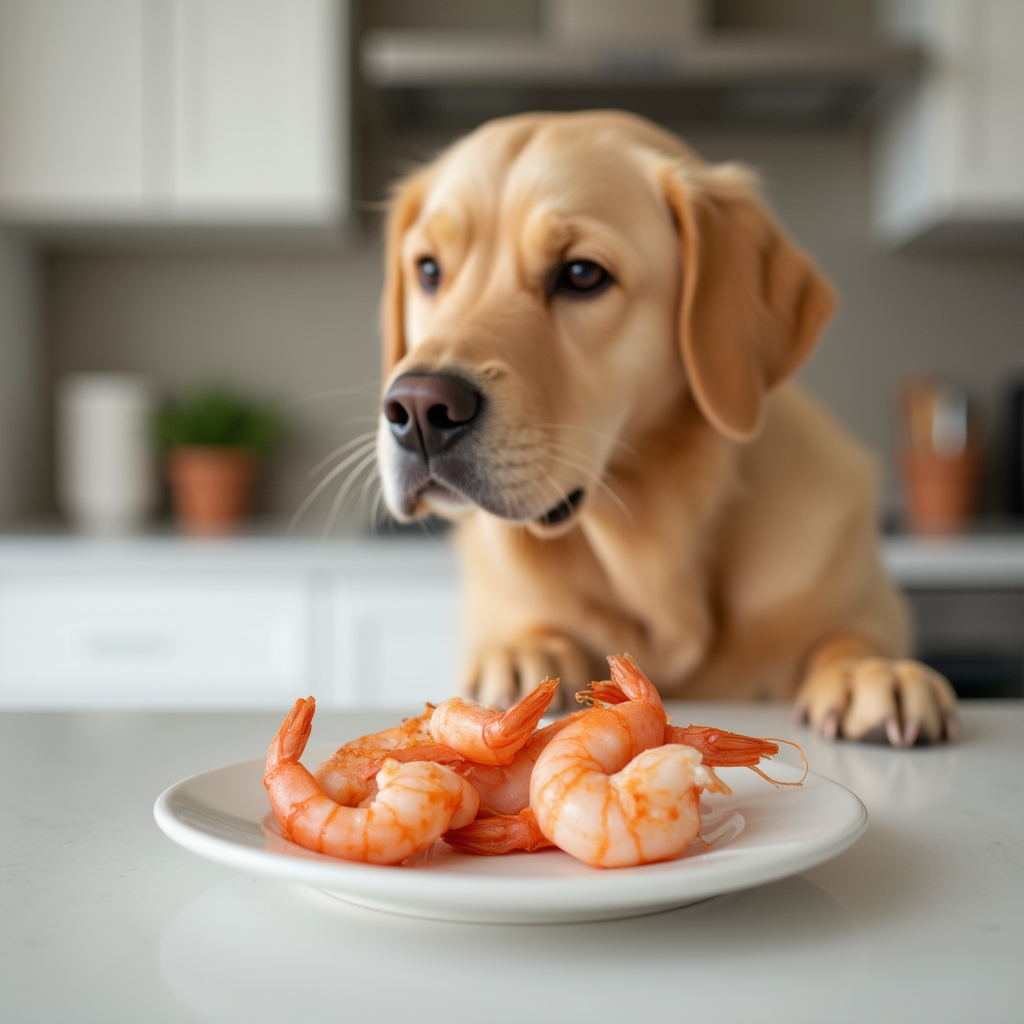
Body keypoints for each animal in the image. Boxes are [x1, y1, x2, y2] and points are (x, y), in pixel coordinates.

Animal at [376, 112, 958, 749]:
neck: (647, 539)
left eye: (582, 274)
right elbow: (532, 632)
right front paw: (523, 655)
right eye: (429, 270)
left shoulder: (862, 606)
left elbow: (848, 634)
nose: (417, 409)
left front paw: (870, 671)